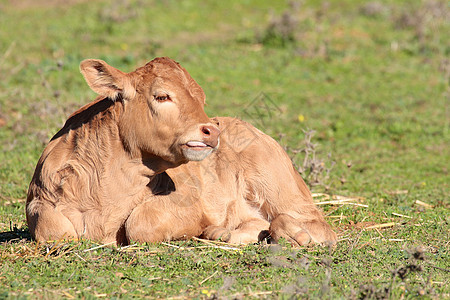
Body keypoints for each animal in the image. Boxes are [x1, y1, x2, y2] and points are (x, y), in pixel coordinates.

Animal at [26, 56, 220, 244]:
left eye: (202, 101)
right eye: (162, 97)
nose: (213, 131)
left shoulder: (191, 202)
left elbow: (139, 222)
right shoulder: (39, 198)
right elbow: (54, 229)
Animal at [125, 116, 336, 245]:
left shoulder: (191, 200)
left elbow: (137, 224)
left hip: (277, 184)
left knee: (319, 225)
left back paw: (296, 237)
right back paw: (221, 234)